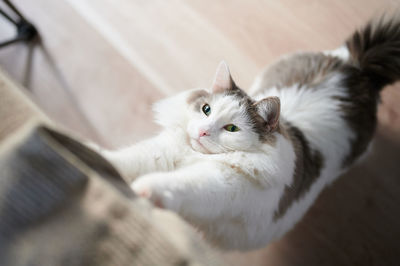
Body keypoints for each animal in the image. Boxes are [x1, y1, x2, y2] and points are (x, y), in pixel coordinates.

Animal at [99, 15, 400, 250]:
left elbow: (178, 184)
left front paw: (146, 189)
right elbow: (124, 160)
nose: (204, 132)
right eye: (206, 110)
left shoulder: (220, 185)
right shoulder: (161, 152)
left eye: (232, 128)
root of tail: (357, 68)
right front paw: (96, 154)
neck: (195, 156)